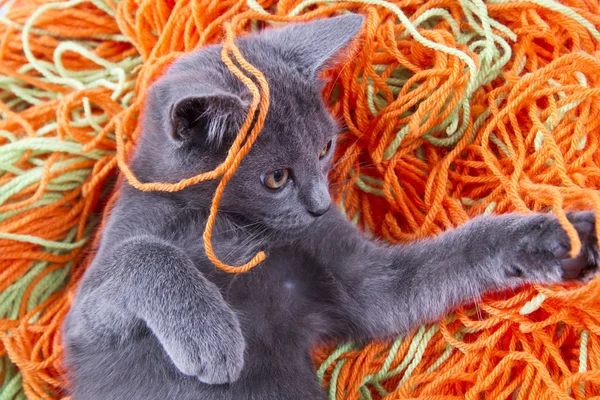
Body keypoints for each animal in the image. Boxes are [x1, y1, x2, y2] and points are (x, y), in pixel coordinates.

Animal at [63, 14, 596, 398]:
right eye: (276, 178)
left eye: (323, 149)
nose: (321, 207)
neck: (236, 227)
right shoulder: (83, 325)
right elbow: (144, 252)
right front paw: (211, 336)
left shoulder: (364, 285)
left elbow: (461, 251)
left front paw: (562, 238)